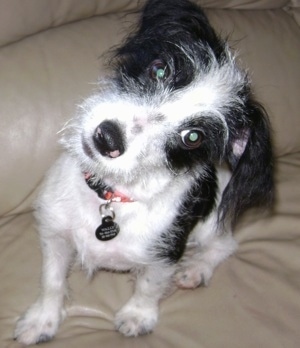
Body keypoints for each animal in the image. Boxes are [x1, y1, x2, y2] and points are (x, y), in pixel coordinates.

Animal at [14, 0, 274, 344]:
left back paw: (195, 269)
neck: (110, 196)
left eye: (193, 137)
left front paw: (138, 316)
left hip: (209, 225)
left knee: (225, 245)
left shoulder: (165, 254)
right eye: (159, 69)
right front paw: (42, 319)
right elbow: (51, 280)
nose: (108, 138)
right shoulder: (54, 235)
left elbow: (149, 287)